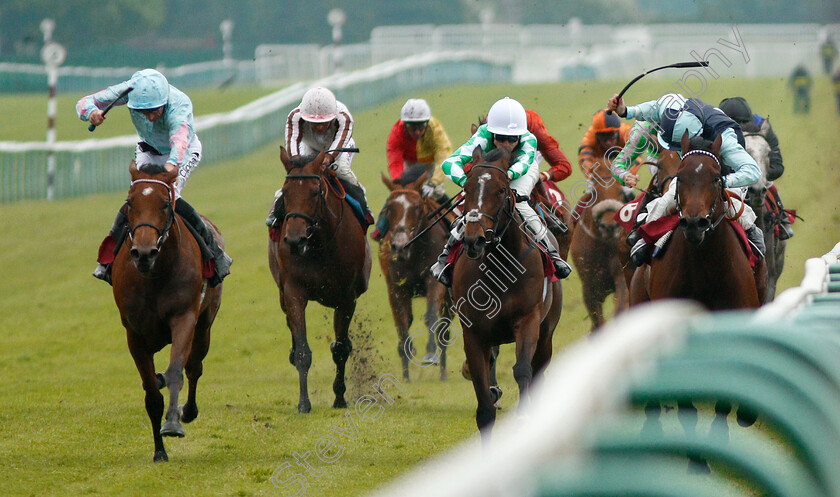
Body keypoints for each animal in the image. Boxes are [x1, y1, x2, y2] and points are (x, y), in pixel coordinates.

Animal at [112, 163, 223, 462]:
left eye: (164, 203)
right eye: (129, 203)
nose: (144, 253)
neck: (154, 275)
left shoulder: (184, 319)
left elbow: (177, 372)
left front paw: (173, 423)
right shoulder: (134, 335)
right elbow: (151, 393)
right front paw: (159, 451)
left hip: (204, 326)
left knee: (194, 367)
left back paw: (188, 410)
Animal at [270, 145, 370, 412]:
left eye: (315, 192)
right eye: (285, 192)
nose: (295, 241)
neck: (318, 245)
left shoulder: (346, 298)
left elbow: (341, 349)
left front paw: (340, 397)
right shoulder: (293, 292)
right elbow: (303, 351)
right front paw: (304, 403)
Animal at [378, 170, 452, 380]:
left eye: (418, 207)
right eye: (389, 208)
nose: (399, 245)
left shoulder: (435, 283)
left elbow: (430, 316)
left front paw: (430, 354)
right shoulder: (396, 288)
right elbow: (402, 323)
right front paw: (406, 373)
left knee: (444, 330)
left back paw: (443, 373)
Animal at [456, 145, 560, 436]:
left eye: (502, 189)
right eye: (466, 187)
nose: (474, 240)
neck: (499, 268)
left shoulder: (528, 321)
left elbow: (522, 370)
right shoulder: (474, 333)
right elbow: (484, 409)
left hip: (546, 334)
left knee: (538, 370)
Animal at [572, 157, 632, 332]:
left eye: (620, 192)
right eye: (595, 193)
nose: (609, 226)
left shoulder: (621, 275)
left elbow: (621, 308)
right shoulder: (589, 287)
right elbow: (597, 322)